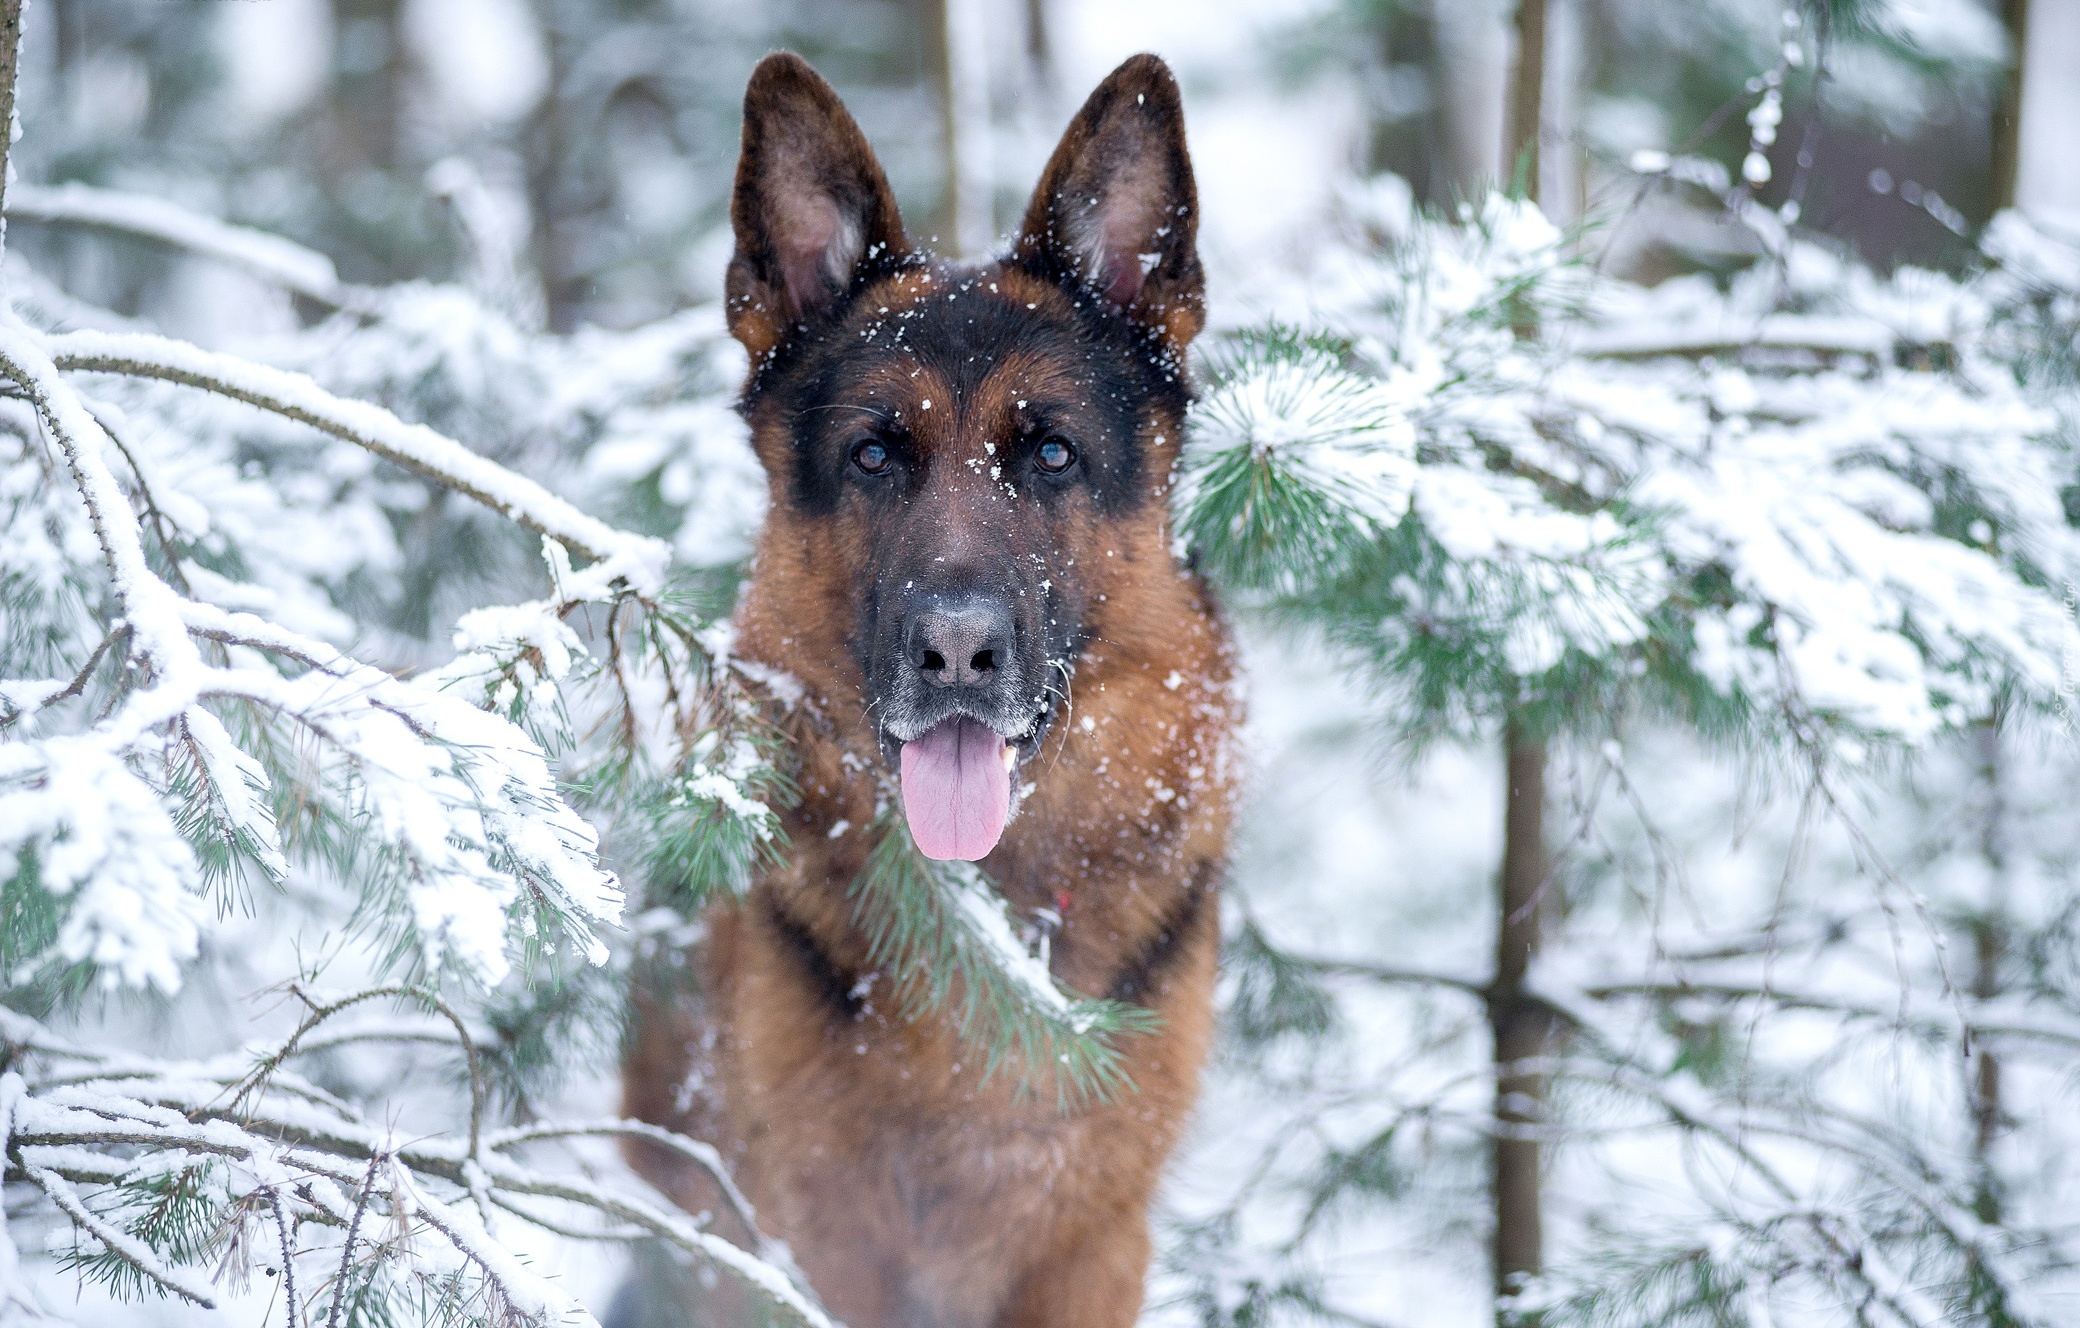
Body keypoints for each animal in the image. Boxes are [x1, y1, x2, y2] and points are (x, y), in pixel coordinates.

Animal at [615, 46, 1231, 1323]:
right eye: (872, 453)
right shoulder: (827, 1236)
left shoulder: (1091, 1244)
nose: (954, 650)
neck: (985, 918)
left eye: (1050, 452)